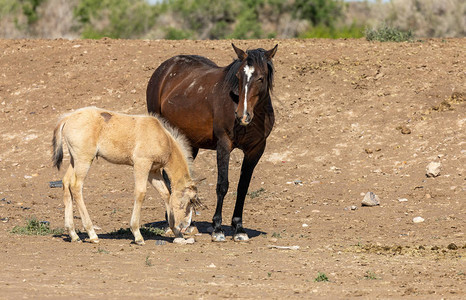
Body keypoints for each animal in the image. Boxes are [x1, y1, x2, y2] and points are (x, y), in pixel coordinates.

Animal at [52, 106, 198, 245]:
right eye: (191, 201)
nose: (186, 225)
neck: (162, 137)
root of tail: (68, 117)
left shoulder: (153, 171)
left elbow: (166, 194)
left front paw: (177, 233)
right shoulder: (141, 164)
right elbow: (140, 193)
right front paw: (137, 235)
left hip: (74, 160)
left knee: (66, 183)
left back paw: (73, 234)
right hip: (84, 160)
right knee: (76, 187)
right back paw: (92, 234)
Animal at [147, 44, 276, 241]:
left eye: (261, 78)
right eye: (239, 76)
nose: (242, 115)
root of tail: (164, 70)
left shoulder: (256, 150)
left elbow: (243, 187)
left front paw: (239, 228)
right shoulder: (224, 145)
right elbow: (222, 185)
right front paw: (217, 228)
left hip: (190, 144)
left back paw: (188, 224)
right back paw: (173, 222)